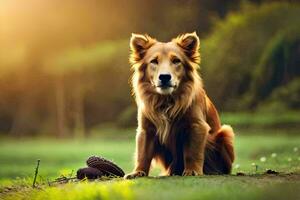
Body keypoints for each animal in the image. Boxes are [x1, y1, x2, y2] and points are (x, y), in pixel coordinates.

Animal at [124, 32, 234, 179]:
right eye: (154, 61)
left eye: (176, 61)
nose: (165, 77)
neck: (166, 101)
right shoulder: (146, 129)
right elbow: (143, 154)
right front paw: (138, 172)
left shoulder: (197, 126)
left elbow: (192, 153)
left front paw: (192, 170)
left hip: (226, 132)